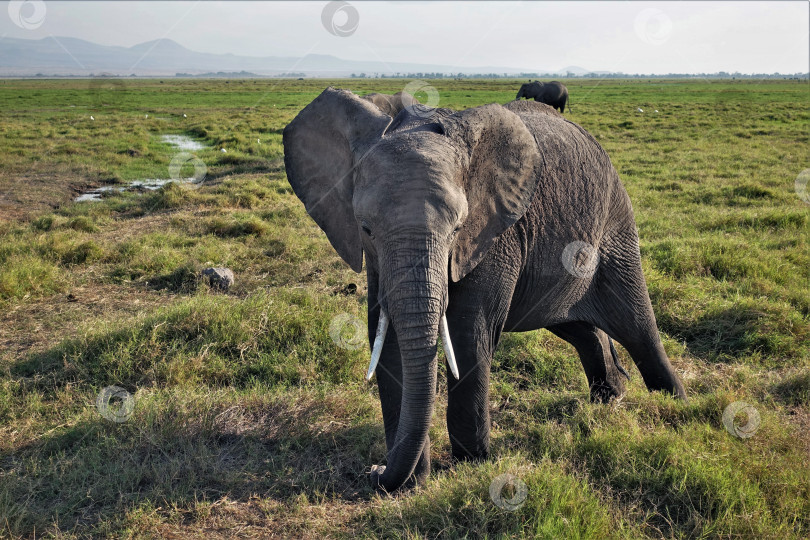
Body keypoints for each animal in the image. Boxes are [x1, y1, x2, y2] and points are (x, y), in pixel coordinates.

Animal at [280, 87, 684, 494]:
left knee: (637, 325)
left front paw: (471, 464)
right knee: (578, 327)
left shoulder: (493, 235)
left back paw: (675, 404)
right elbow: (387, 337)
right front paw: (411, 482)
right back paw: (610, 399)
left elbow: (468, 332)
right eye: (365, 229)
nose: (375, 471)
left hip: (616, 225)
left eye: (458, 228)